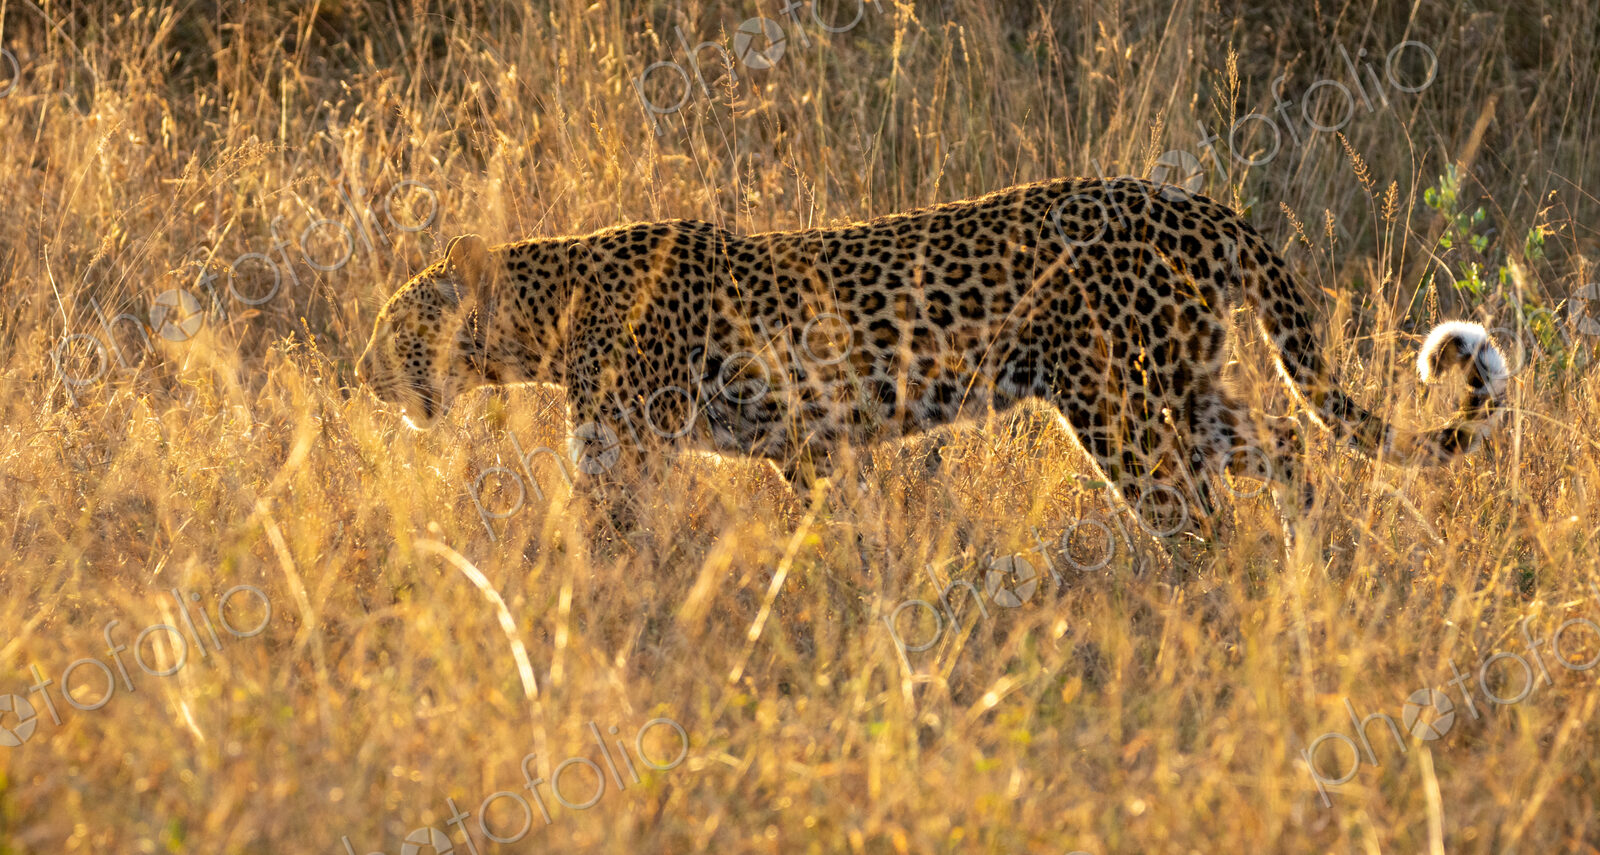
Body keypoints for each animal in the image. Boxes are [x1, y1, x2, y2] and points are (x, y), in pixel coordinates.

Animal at [355, 176, 1508, 535]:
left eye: (402, 327)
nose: (364, 377)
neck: (551, 309)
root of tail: (1196, 204)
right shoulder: (806, 445)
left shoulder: (620, 447)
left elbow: (602, 537)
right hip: (1183, 386)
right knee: (1288, 451)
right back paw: (1315, 570)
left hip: (1118, 403)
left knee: (1194, 514)